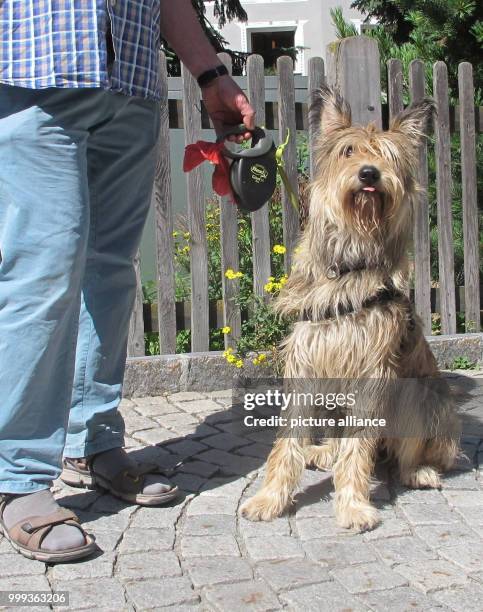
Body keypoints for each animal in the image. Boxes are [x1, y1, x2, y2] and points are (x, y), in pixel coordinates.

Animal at [240, 86, 460, 532]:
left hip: (420, 400)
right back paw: (324, 452)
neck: (349, 264)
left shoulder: (373, 370)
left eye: (388, 156)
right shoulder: (308, 363)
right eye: (348, 151)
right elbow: (288, 443)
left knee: (410, 452)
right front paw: (271, 497)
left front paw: (354, 505)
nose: (369, 174)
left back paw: (419, 471)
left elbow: (359, 447)